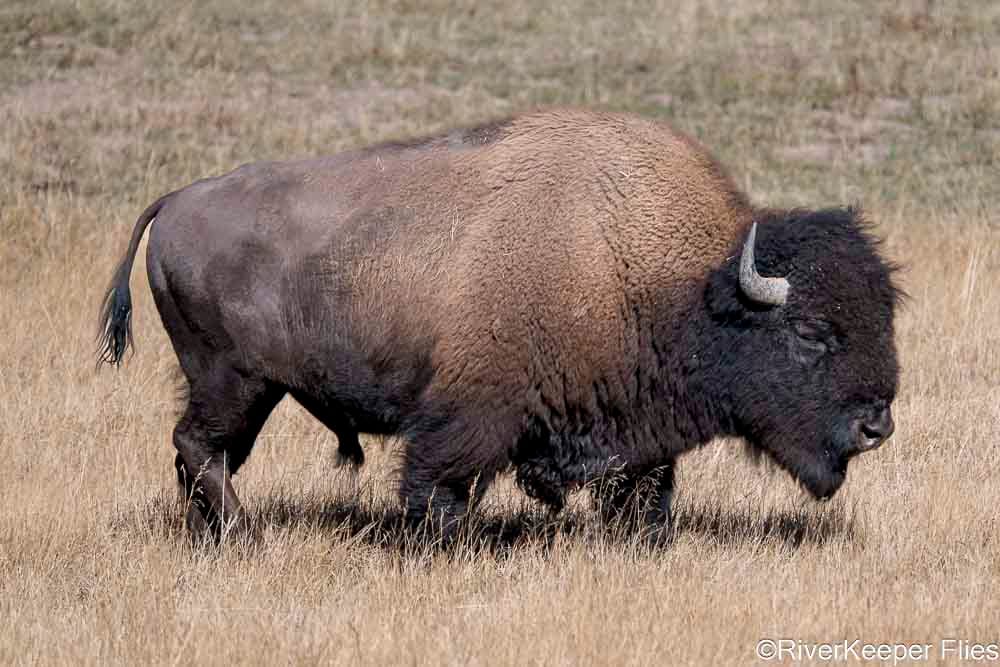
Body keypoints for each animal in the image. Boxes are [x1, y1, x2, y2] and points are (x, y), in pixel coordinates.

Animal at [98, 109, 900, 541]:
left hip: (245, 389)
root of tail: (175, 201)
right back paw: (246, 538)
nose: (877, 425)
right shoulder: (468, 415)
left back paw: (216, 541)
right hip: (232, 380)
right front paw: (439, 549)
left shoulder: (638, 431)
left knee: (200, 455)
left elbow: (645, 495)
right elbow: (439, 489)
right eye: (811, 333)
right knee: (198, 448)